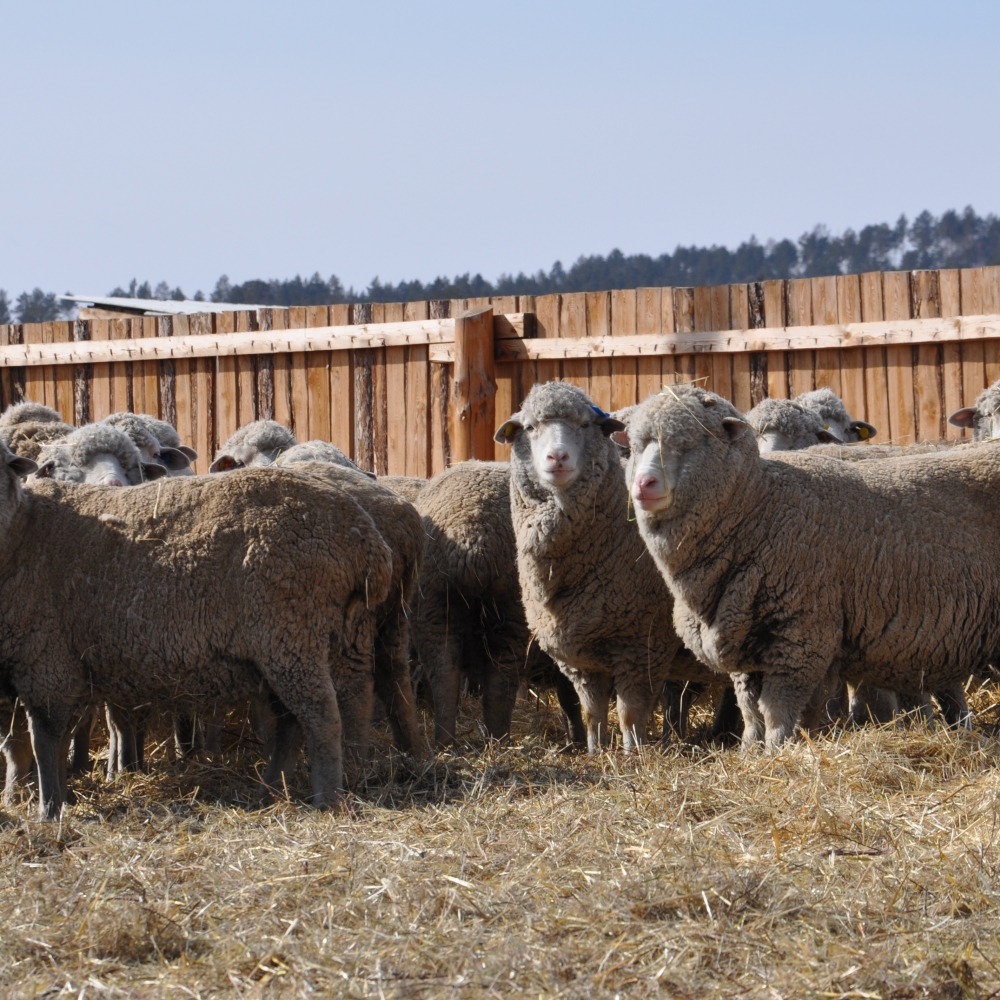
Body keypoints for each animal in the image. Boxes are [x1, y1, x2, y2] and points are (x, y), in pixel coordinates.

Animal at [0, 442, 394, 816]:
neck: (22, 533)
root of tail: (366, 539)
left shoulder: (45, 662)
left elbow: (44, 740)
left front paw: (50, 809)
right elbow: (42, 742)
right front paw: (52, 800)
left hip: (292, 636)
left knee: (322, 717)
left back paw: (326, 798)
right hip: (330, 637)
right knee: (302, 718)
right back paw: (273, 789)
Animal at [496, 382, 708, 752]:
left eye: (584, 425)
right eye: (531, 427)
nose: (557, 458)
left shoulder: (643, 643)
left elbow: (630, 712)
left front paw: (633, 752)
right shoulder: (579, 658)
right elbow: (592, 710)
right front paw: (595, 750)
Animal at [624, 386, 1000, 748]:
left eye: (689, 443)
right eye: (634, 447)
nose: (643, 484)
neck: (757, 507)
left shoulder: (800, 637)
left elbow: (777, 711)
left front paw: (778, 752)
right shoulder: (744, 647)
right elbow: (751, 713)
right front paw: (750, 752)